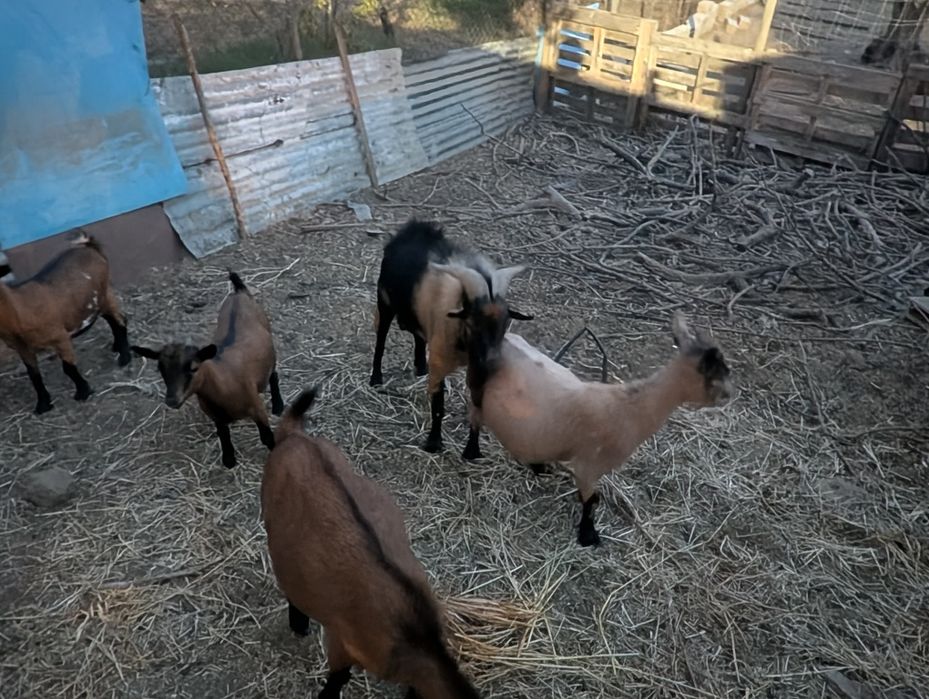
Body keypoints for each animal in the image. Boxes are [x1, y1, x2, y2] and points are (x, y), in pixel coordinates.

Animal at [0, 233, 131, 414]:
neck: (17, 309)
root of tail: (89, 246)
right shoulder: (22, 348)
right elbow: (34, 375)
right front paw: (43, 405)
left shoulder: (59, 337)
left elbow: (68, 368)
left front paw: (83, 392)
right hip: (97, 301)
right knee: (112, 320)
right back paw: (117, 347)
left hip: (104, 294)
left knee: (120, 321)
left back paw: (125, 357)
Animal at [132, 272, 284, 468]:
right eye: (160, 369)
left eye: (194, 368)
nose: (171, 400)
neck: (224, 382)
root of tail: (239, 291)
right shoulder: (216, 416)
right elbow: (223, 435)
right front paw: (229, 460)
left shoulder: (257, 408)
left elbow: (267, 437)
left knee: (273, 374)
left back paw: (278, 405)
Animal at [369, 219, 530, 455]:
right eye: (472, 323)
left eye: (505, 323)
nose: (493, 363)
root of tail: (411, 229)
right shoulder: (440, 360)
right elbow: (438, 404)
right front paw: (433, 443)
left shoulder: (477, 369)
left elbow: (477, 405)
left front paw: (472, 451)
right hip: (385, 302)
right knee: (381, 338)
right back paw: (376, 379)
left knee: (418, 336)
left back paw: (420, 367)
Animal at [465, 313, 733, 547]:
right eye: (713, 368)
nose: (729, 394)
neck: (630, 407)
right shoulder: (589, 465)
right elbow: (591, 500)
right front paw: (588, 536)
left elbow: (594, 499)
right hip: (478, 393)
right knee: (475, 421)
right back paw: (472, 453)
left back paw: (539, 467)